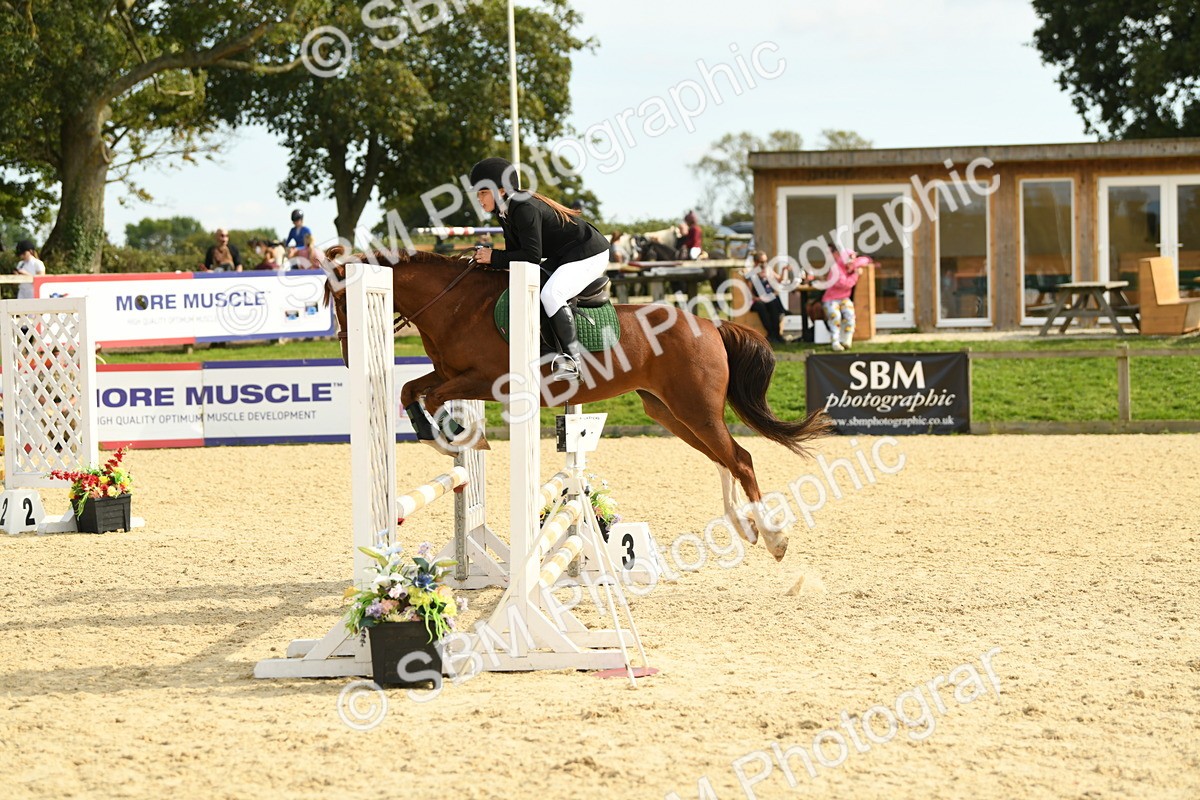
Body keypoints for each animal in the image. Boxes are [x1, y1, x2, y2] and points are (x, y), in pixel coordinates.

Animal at [322, 247, 830, 561]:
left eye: (341, 301)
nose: (346, 356)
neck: (455, 306)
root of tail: (712, 326)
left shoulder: (485, 380)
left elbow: (432, 397)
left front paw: (460, 438)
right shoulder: (451, 374)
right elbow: (412, 391)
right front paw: (443, 437)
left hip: (693, 410)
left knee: (740, 459)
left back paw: (774, 538)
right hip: (668, 411)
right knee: (724, 459)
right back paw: (746, 528)